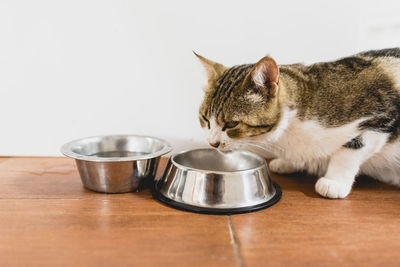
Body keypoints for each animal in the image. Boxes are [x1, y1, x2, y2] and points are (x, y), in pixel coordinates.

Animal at [195, 48, 400, 199]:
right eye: (205, 119)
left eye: (231, 124)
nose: (212, 143)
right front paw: (288, 162)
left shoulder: (382, 117)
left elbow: (349, 151)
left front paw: (334, 182)